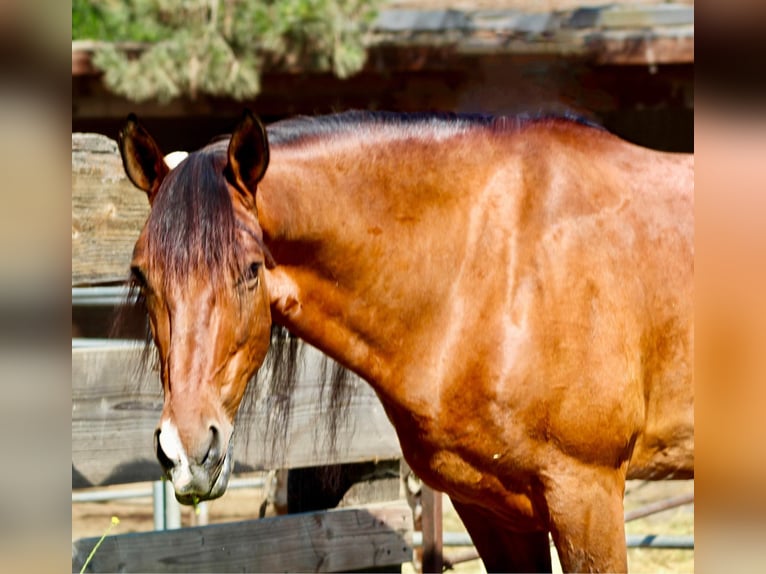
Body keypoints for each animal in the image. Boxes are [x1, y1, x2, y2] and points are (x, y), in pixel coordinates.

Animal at [118, 109, 696, 574]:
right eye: (142, 276)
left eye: (251, 270)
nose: (188, 452)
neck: (500, 261)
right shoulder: (492, 509)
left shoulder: (586, 496)